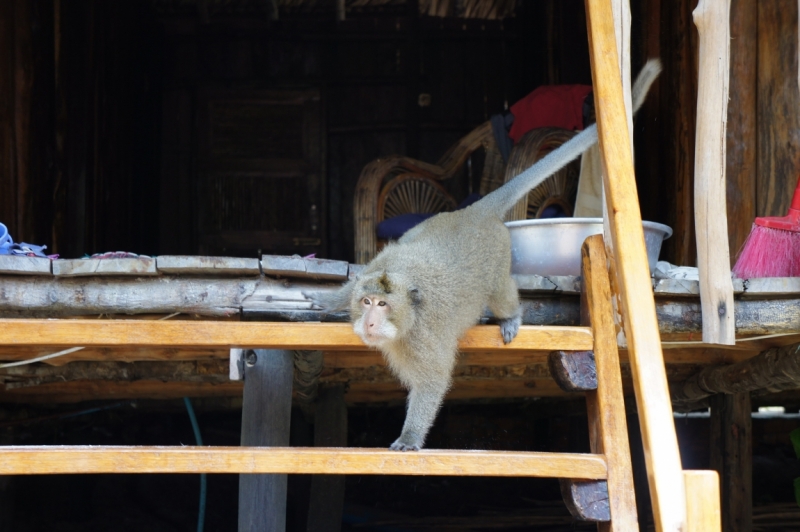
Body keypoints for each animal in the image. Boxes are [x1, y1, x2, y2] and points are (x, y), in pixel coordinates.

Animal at [304, 59, 660, 448]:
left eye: (383, 305)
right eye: (367, 302)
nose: (368, 321)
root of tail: (472, 213)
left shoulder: (423, 340)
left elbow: (432, 381)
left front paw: (410, 436)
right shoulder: (379, 265)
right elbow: (356, 278)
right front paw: (328, 303)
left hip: (499, 254)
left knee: (500, 291)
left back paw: (510, 315)